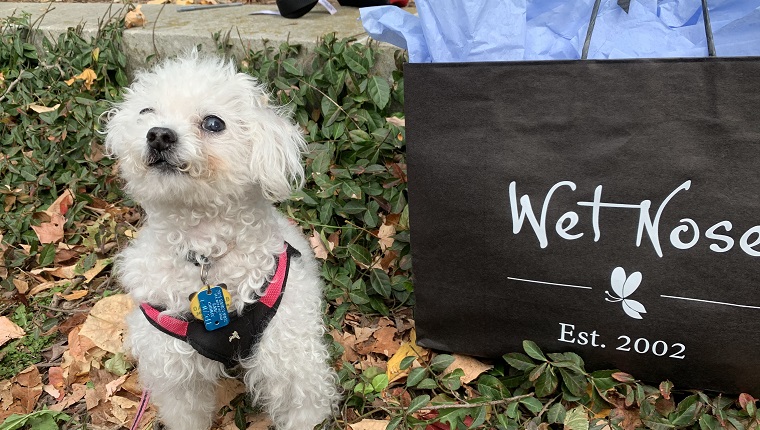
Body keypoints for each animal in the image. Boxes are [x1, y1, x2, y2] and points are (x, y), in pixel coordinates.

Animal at [104, 52, 338, 428]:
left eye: (213, 123)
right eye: (146, 112)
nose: (158, 135)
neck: (205, 251)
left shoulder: (289, 352)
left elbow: (301, 403)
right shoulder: (173, 364)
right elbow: (186, 412)